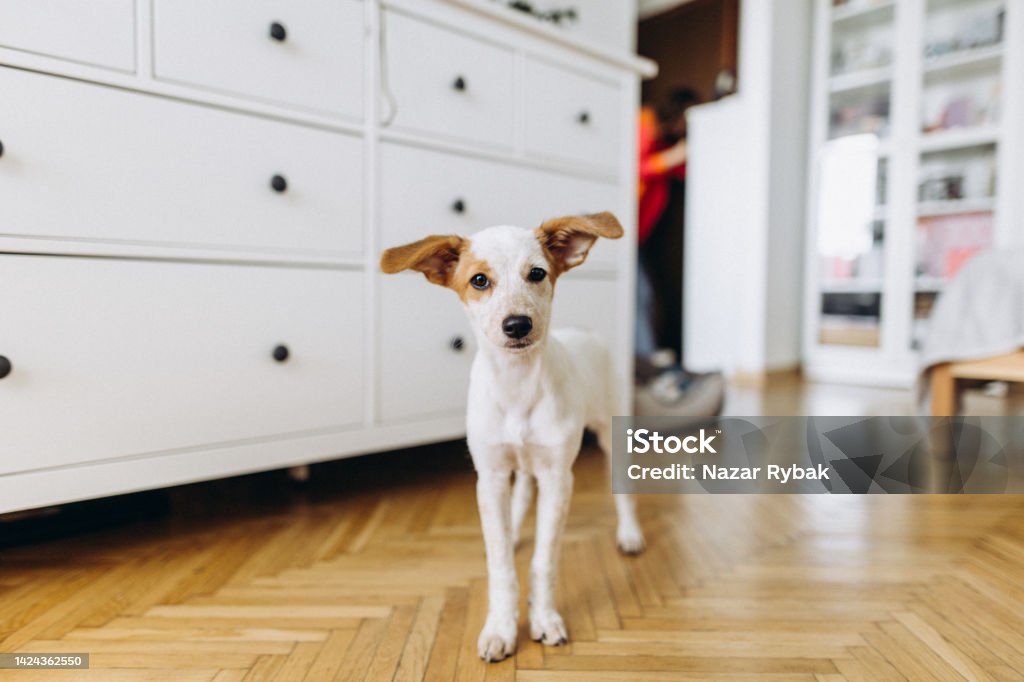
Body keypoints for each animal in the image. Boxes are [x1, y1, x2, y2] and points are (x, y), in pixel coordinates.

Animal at [380, 210, 643, 659]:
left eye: (537, 273)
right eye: (479, 280)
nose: (517, 324)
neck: (518, 386)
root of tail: (586, 331)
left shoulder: (559, 477)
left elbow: (544, 560)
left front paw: (545, 618)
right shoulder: (490, 476)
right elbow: (500, 563)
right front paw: (501, 626)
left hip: (612, 430)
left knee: (622, 489)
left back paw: (629, 534)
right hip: (516, 463)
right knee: (521, 491)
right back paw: (517, 527)